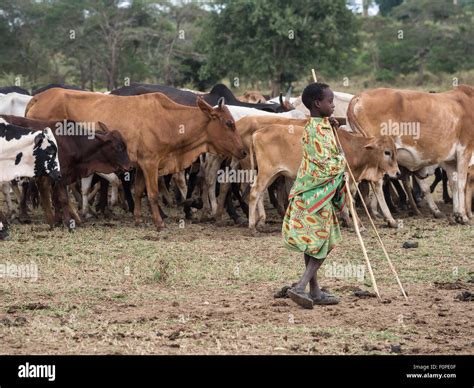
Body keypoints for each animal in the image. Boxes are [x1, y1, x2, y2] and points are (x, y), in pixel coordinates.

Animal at [24, 88, 246, 230]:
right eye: (229, 123)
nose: (243, 151)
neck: (168, 120)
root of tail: (37, 98)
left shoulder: (139, 165)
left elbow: (139, 191)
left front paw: (139, 219)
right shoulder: (150, 163)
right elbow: (153, 194)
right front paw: (159, 223)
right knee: (46, 187)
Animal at [248, 126, 400, 232]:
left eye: (395, 151)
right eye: (387, 152)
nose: (397, 173)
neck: (355, 149)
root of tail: (257, 133)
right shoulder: (345, 178)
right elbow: (350, 201)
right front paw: (358, 225)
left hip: (272, 174)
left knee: (259, 193)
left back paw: (260, 222)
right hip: (267, 172)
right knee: (254, 193)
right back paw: (252, 226)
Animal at [348, 84, 474, 224]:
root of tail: (359, 96)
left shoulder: (450, 160)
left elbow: (454, 184)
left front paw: (457, 214)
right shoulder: (465, 150)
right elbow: (462, 184)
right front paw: (464, 216)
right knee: (377, 184)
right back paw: (389, 218)